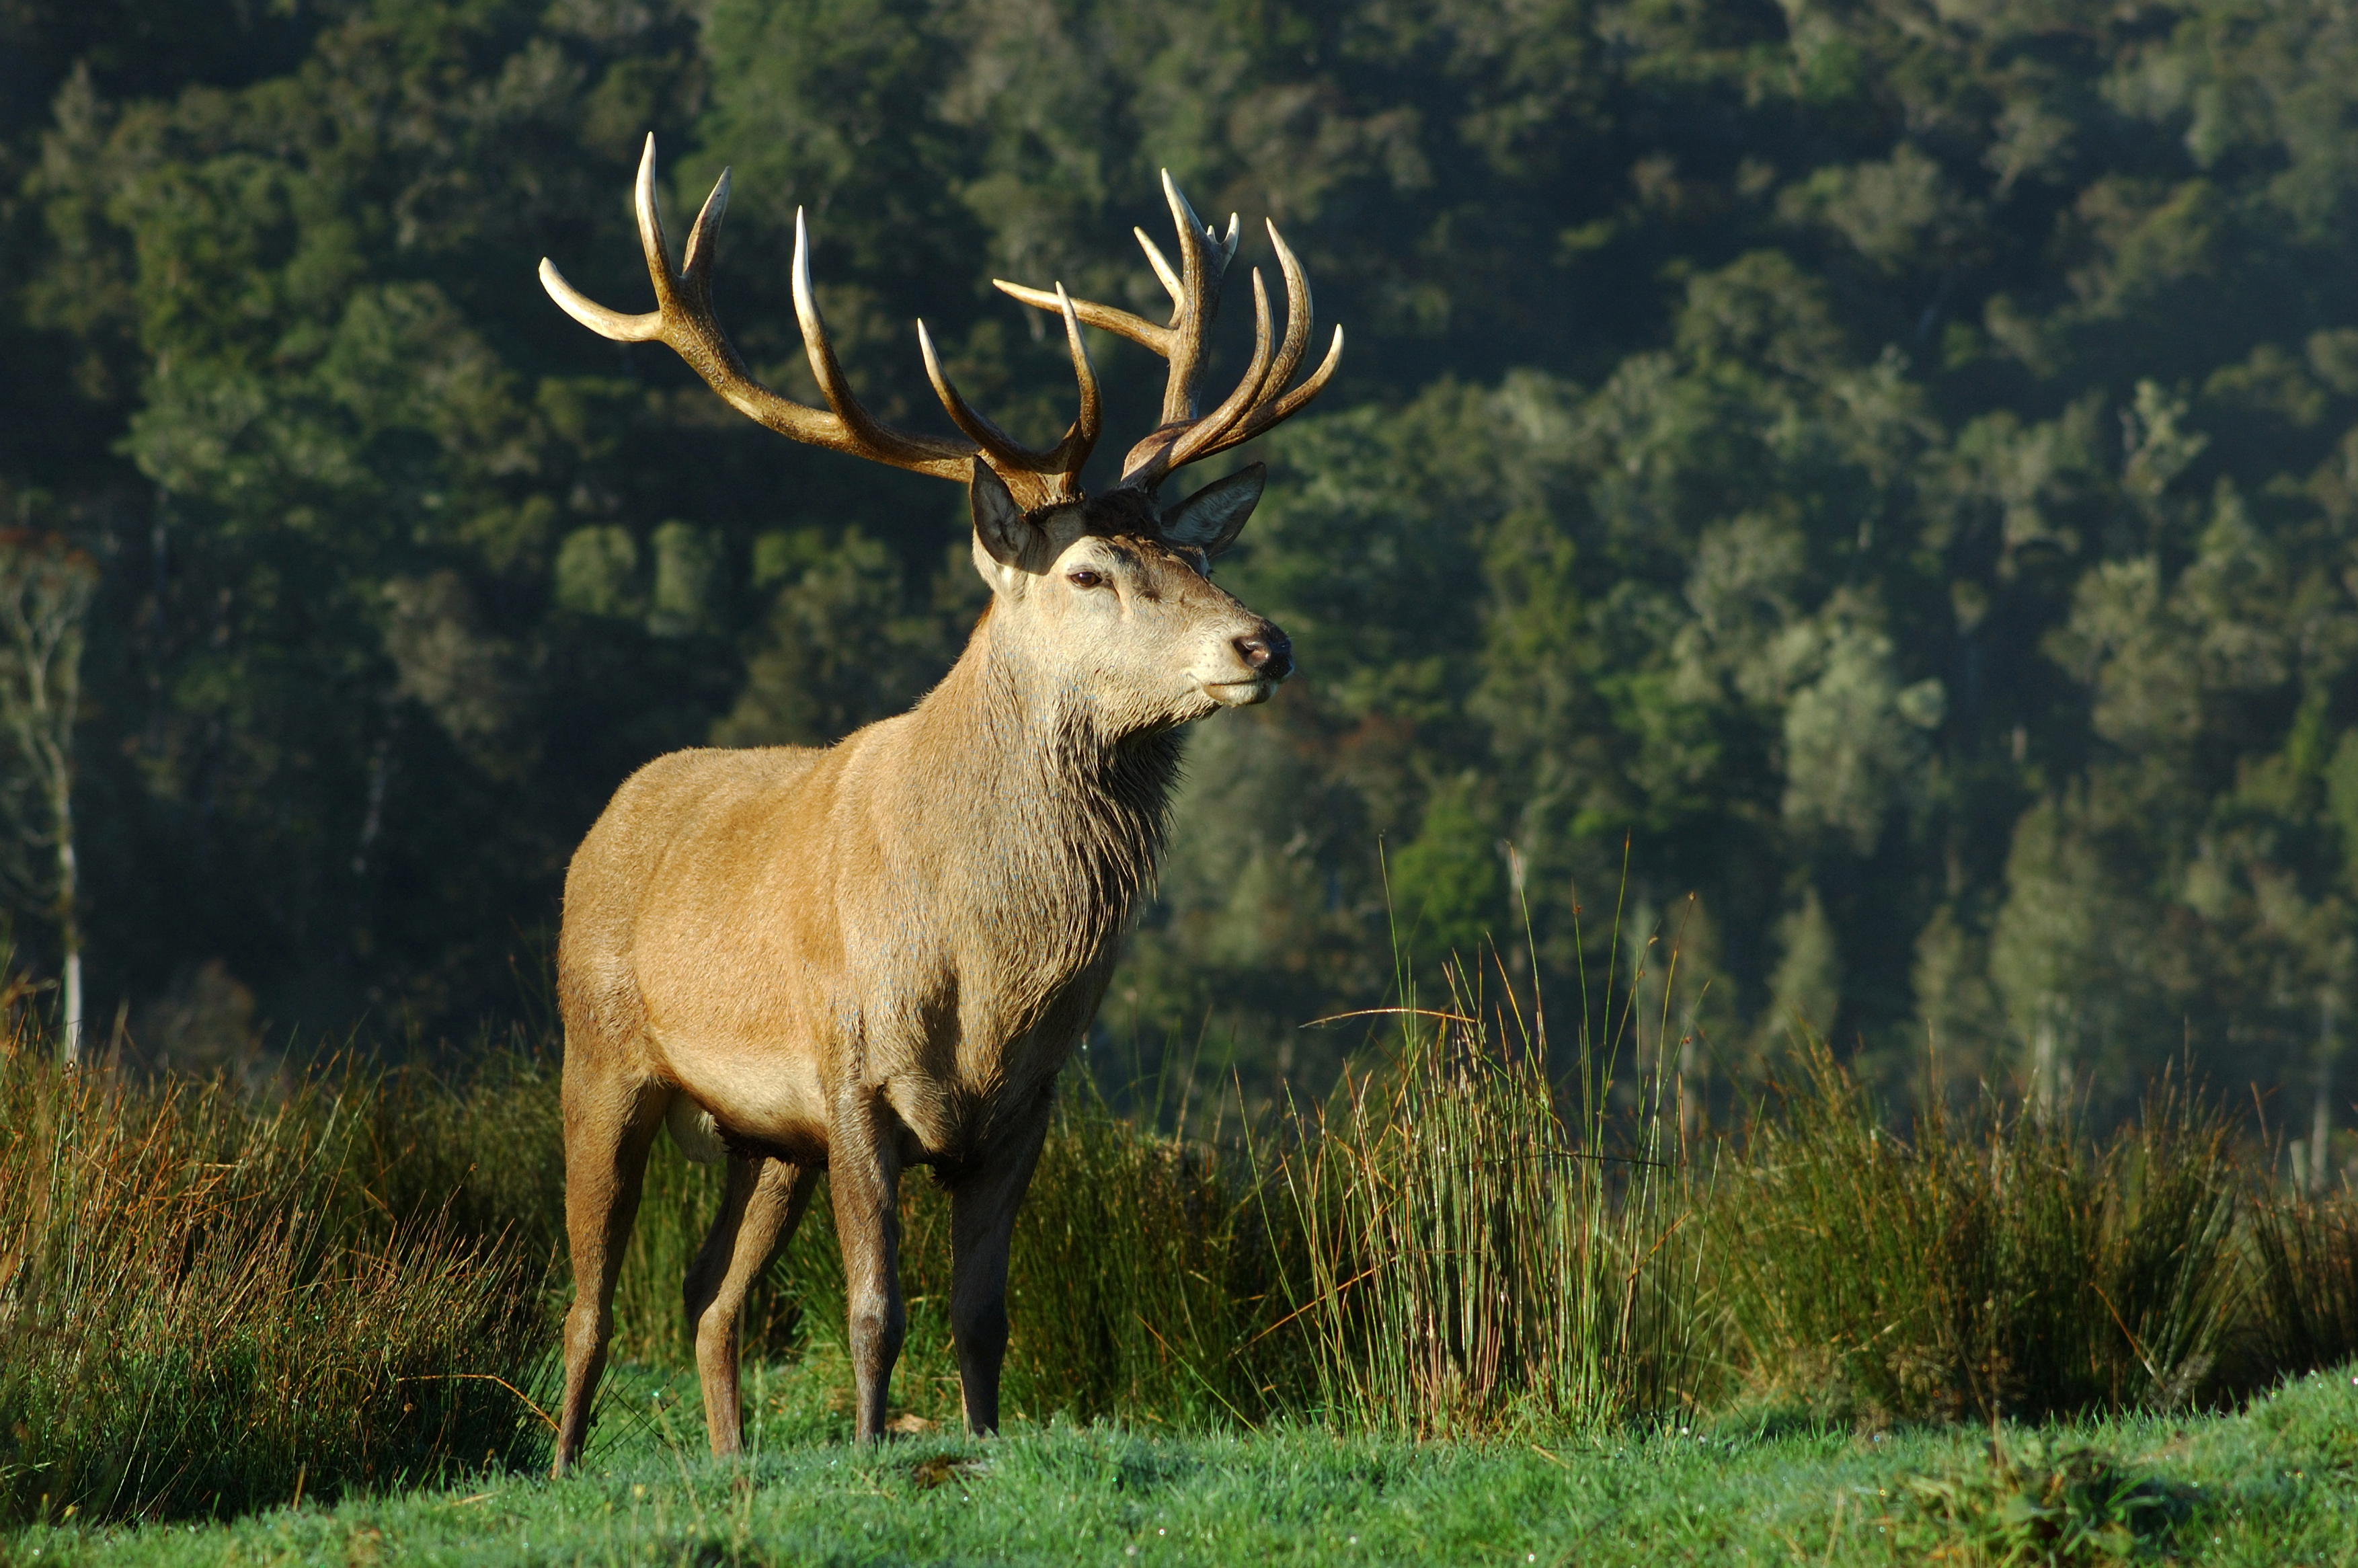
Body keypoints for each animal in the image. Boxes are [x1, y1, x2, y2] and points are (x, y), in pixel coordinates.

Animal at [535, 136, 1341, 1472]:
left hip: (765, 1136)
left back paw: (731, 1457)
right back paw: (561, 1464)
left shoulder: (1024, 1104)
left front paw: (981, 1443)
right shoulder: (853, 1069)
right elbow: (876, 1306)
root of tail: (602, 822)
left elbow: (985, 1313)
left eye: (1195, 555)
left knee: (708, 1297)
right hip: (599, 1056)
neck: (989, 969)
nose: (1262, 644)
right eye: (1089, 570)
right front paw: (873, 1455)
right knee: (593, 1298)